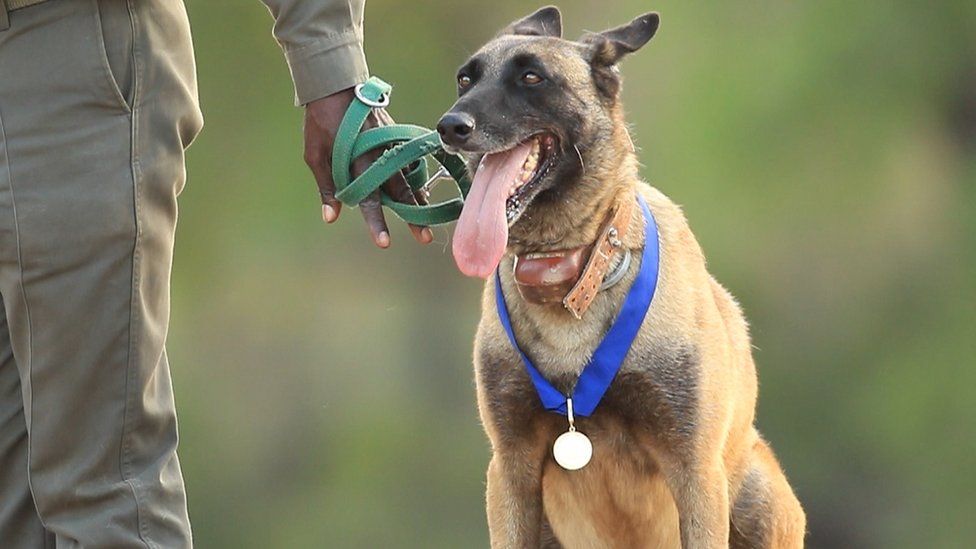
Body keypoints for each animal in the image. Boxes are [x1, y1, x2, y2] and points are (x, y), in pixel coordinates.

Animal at [438, 5, 804, 548]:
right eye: (466, 79)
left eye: (532, 77)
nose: (450, 125)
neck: (573, 273)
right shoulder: (510, 468)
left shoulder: (695, 469)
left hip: (763, 500)